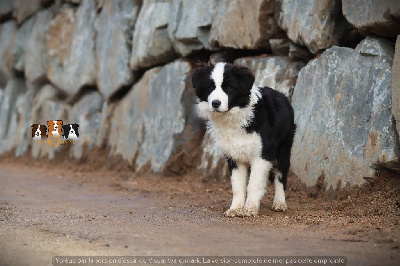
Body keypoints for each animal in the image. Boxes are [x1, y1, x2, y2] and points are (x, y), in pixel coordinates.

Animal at [192, 63, 296, 217]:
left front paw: (249, 209)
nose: (216, 103)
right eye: (211, 87)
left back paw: (279, 203)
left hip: (284, 149)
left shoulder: (262, 154)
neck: (234, 117)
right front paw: (235, 208)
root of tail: (282, 95)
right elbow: (237, 186)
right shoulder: (235, 157)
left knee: (280, 176)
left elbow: (254, 184)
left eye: (229, 87)